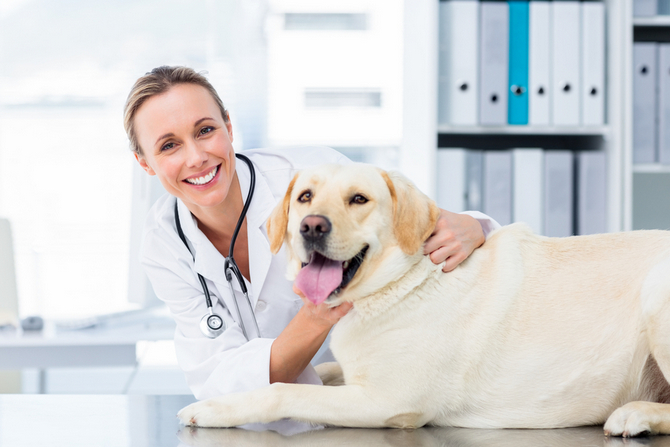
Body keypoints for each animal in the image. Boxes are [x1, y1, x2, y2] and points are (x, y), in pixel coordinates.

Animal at [177, 164, 670, 438]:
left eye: (359, 199)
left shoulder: (386, 401)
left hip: (655, 298)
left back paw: (634, 415)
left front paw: (211, 409)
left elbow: (282, 390)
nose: (311, 226)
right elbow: (322, 369)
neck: (400, 282)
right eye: (305, 196)